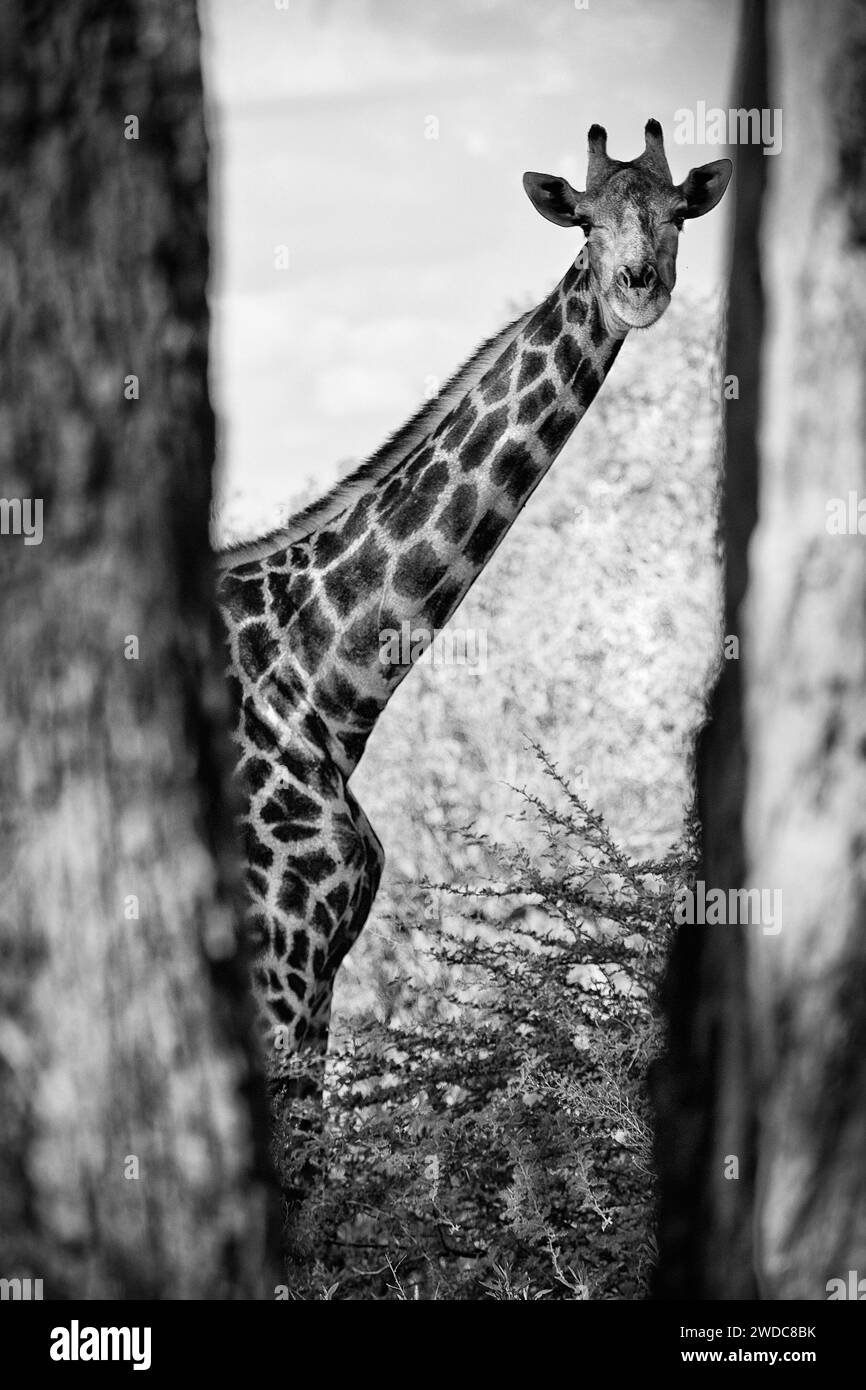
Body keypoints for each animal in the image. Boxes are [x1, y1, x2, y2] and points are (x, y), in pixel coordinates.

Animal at [216, 120, 731, 1118]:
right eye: (586, 219)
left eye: (678, 213)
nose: (639, 287)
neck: (325, 684)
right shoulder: (278, 961)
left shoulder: (320, 978)